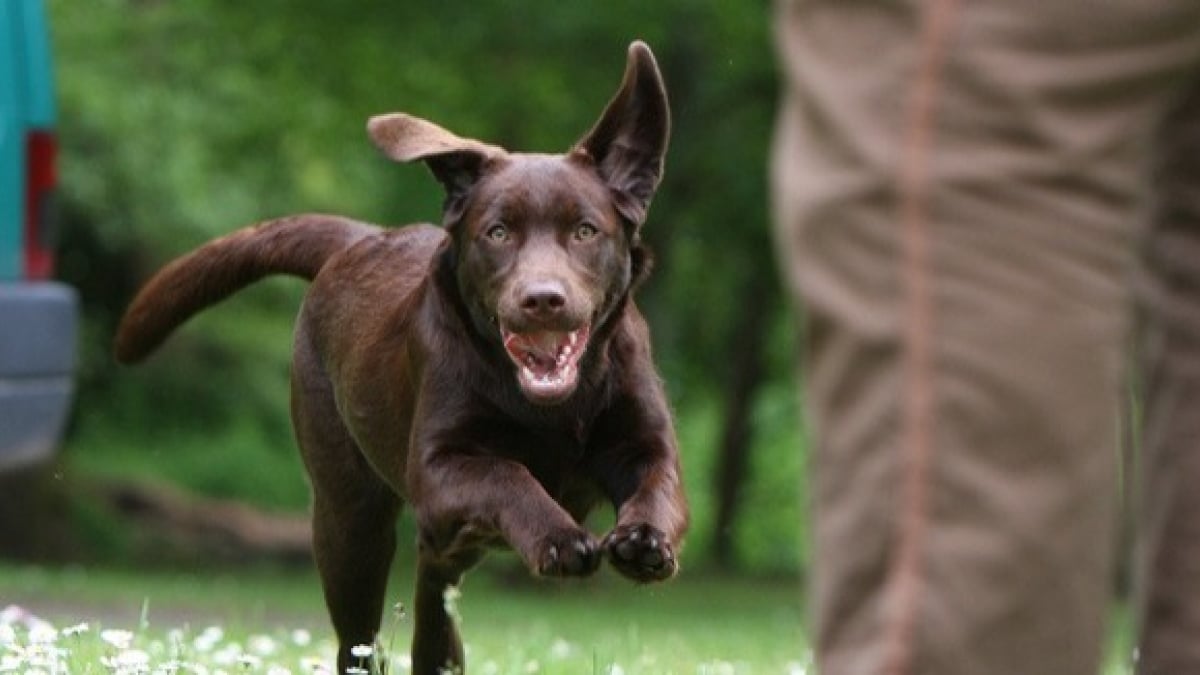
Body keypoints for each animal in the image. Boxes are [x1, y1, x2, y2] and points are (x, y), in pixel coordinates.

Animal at [118, 43, 691, 672]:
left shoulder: (644, 441)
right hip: (349, 520)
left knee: (434, 590)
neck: (552, 408)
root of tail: (357, 240)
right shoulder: (439, 469)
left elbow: (659, 484)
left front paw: (645, 541)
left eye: (586, 231)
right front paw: (560, 538)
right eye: (497, 233)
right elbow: (508, 472)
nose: (542, 299)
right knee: (361, 633)